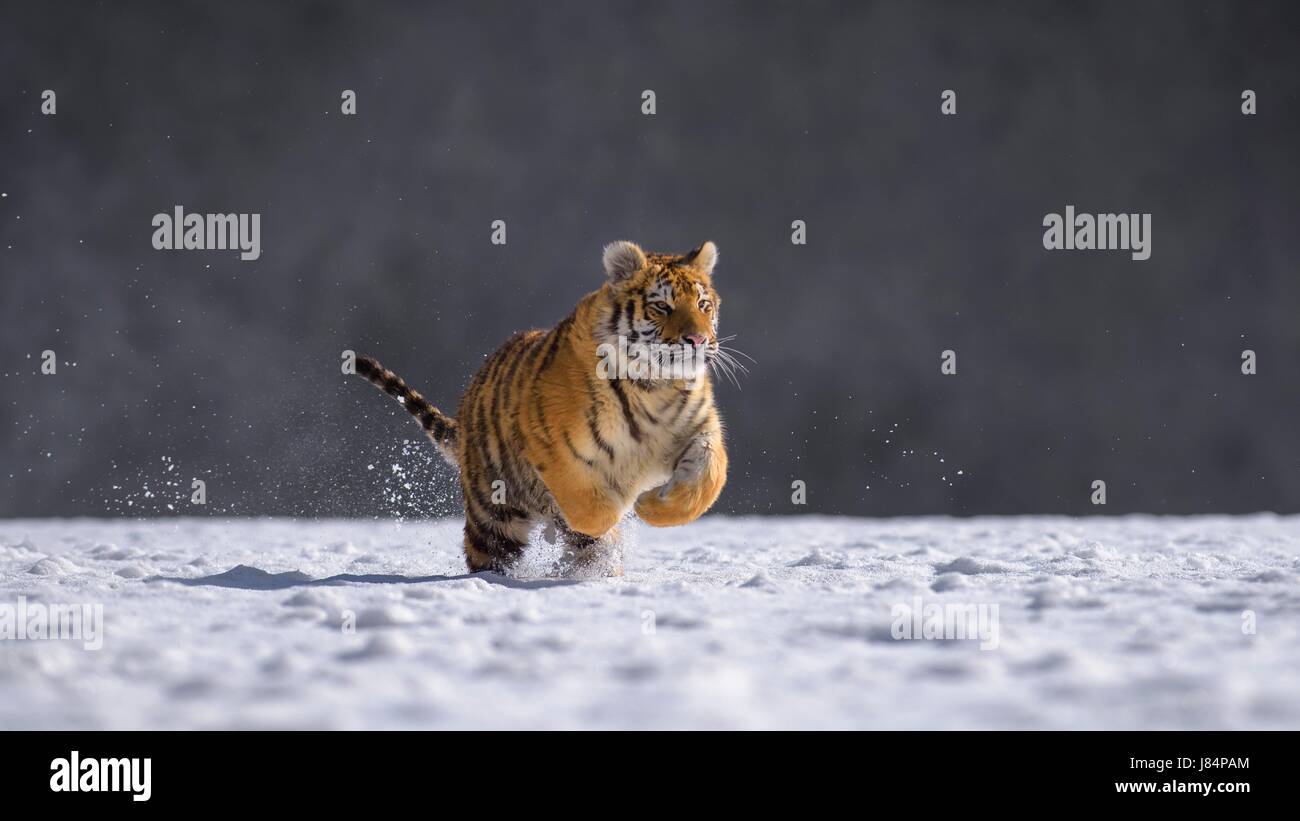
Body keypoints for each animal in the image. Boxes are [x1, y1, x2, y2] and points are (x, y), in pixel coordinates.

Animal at [356, 240, 748, 574]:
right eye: (661, 306)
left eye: (703, 305)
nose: (698, 340)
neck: (656, 386)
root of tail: (465, 418)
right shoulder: (553, 449)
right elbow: (593, 510)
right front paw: (619, 518)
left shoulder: (700, 431)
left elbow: (710, 477)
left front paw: (651, 506)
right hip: (492, 514)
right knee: (486, 552)